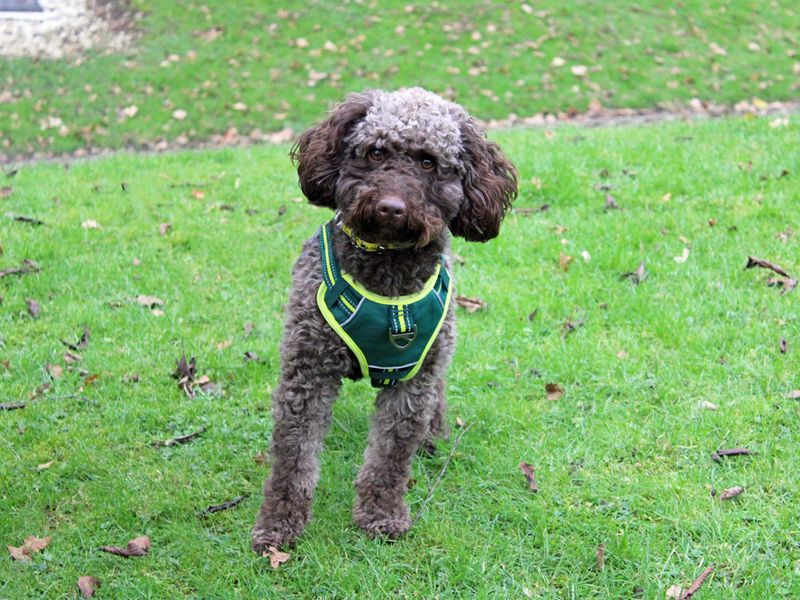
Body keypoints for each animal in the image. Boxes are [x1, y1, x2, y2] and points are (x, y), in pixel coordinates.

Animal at [252, 85, 520, 552]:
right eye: (376, 152)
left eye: (428, 162)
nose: (391, 207)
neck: (387, 268)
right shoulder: (307, 372)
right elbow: (293, 455)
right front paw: (279, 524)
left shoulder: (413, 379)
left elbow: (391, 456)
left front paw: (381, 515)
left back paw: (435, 435)